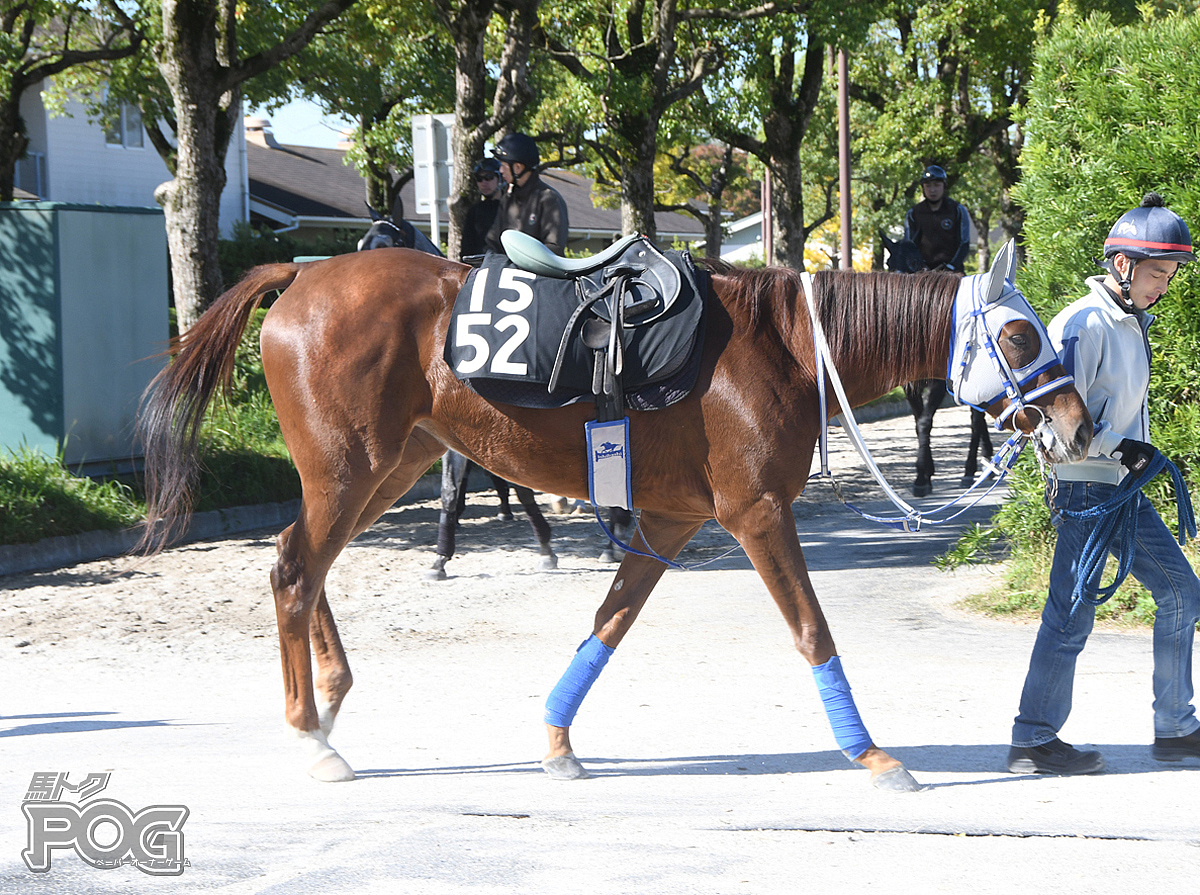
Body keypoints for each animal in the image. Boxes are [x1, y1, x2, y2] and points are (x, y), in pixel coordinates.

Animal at [352, 205, 554, 575]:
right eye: (360, 244)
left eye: (383, 245)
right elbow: (449, 487)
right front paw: (441, 554)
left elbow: (520, 484)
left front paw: (546, 545)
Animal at [883, 233, 993, 494]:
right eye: (888, 263)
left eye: (914, 262)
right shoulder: (909, 384)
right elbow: (917, 421)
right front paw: (925, 472)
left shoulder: (939, 383)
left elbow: (925, 421)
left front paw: (921, 478)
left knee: (976, 419)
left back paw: (970, 469)